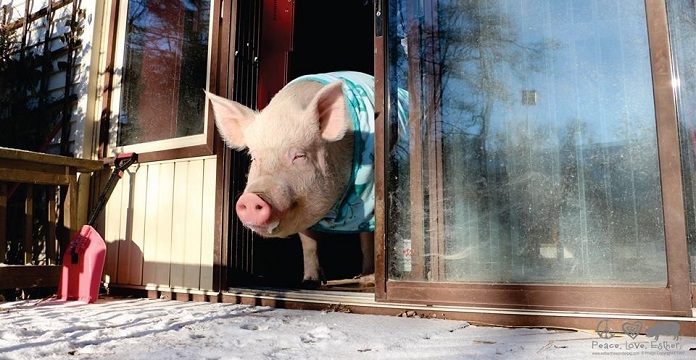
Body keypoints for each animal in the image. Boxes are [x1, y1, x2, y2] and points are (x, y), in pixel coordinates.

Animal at [207, 71, 380, 286]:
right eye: (254, 157)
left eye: (299, 156)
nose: (251, 198)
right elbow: (309, 244)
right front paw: (310, 281)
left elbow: (367, 240)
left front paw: (369, 280)